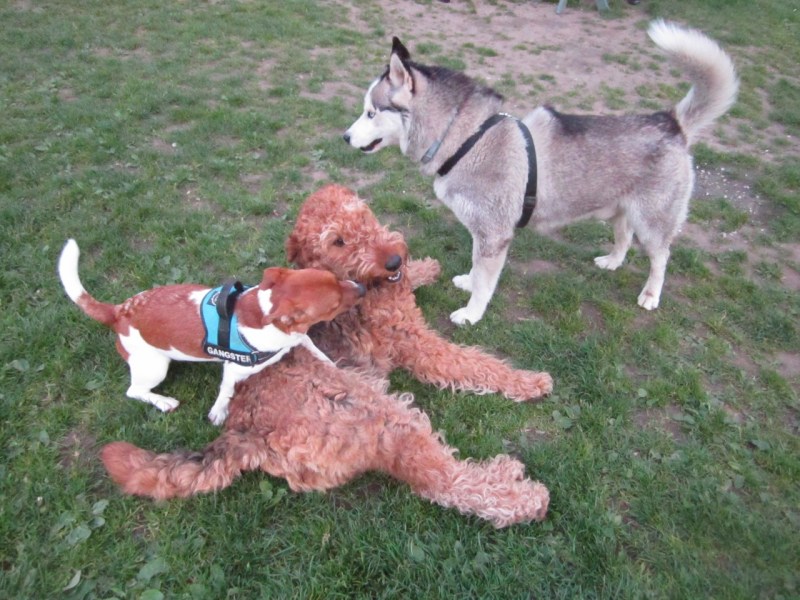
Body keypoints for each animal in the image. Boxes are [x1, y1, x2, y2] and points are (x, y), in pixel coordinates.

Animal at [58, 239, 364, 424]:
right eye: (334, 304)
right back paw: (163, 401)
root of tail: (118, 312)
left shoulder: (297, 336)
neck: (265, 312)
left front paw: (332, 364)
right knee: (134, 391)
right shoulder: (234, 369)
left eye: (337, 277)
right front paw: (219, 411)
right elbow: (226, 390)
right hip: (155, 367)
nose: (362, 288)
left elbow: (314, 349)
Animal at [99, 185, 553, 528]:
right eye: (337, 240)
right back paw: (523, 494)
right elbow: (476, 363)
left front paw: (427, 266)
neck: (357, 282)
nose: (393, 259)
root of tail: (242, 433)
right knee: (439, 477)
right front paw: (530, 381)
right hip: (379, 413)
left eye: (363, 214)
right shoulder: (416, 343)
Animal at [344, 20, 738, 324]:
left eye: (370, 112)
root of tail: (671, 122)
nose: (344, 136)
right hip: (620, 210)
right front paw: (469, 282)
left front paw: (471, 314)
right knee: (623, 237)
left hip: (652, 222)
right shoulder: (483, 232)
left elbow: (486, 282)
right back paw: (611, 262)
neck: (465, 138)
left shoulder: (495, 235)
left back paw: (651, 294)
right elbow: (476, 268)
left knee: (661, 257)